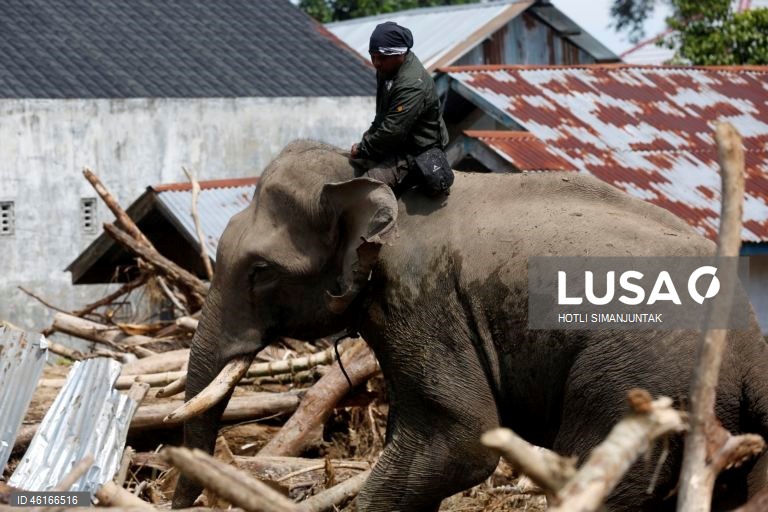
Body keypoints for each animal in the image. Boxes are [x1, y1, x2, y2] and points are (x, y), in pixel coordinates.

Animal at [172, 140, 768, 511]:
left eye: (261, 272)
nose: (176, 499)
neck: (371, 179)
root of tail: (752, 348)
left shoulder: (422, 302)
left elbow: (461, 441)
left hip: (633, 382)